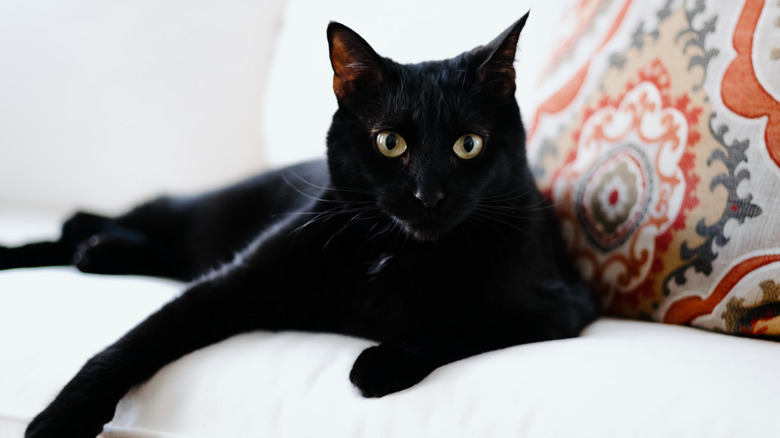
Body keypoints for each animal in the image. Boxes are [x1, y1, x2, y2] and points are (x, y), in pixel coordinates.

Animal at [4, 13, 596, 438]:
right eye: (390, 142)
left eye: (468, 144)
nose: (428, 195)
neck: (399, 252)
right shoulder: (234, 282)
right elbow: (133, 341)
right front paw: (59, 419)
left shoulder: (560, 304)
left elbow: (466, 324)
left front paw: (380, 363)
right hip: (195, 216)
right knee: (92, 227)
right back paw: (76, 244)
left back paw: (97, 252)